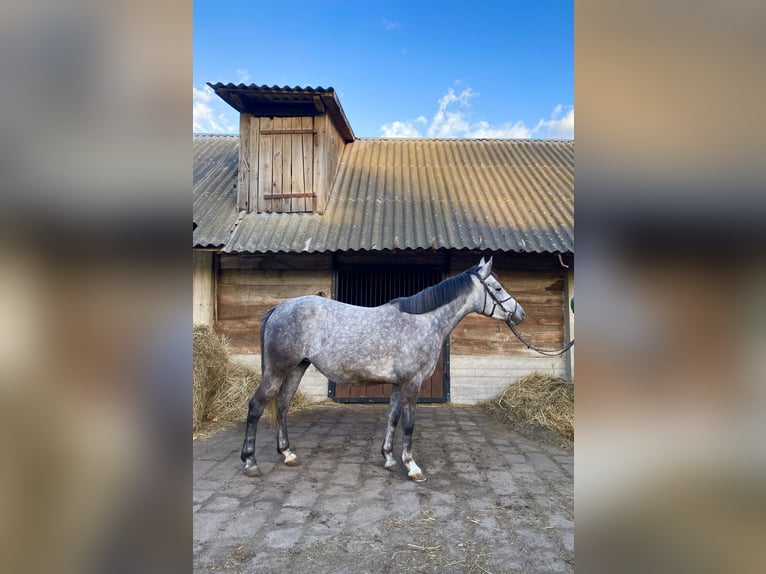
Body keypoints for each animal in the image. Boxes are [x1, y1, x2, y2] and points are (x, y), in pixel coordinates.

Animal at [243, 258, 524, 484]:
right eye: (497, 288)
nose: (520, 313)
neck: (422, 321)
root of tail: (278, 309)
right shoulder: (412, 383)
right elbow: (409, 424)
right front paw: (412, 467)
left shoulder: (399, 384)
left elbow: (393, 417)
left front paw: (389, 458)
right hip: (277, 370)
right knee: (256, 406)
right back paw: (250, 462)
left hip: (296, 368)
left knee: (282, 405)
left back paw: (288, 454)